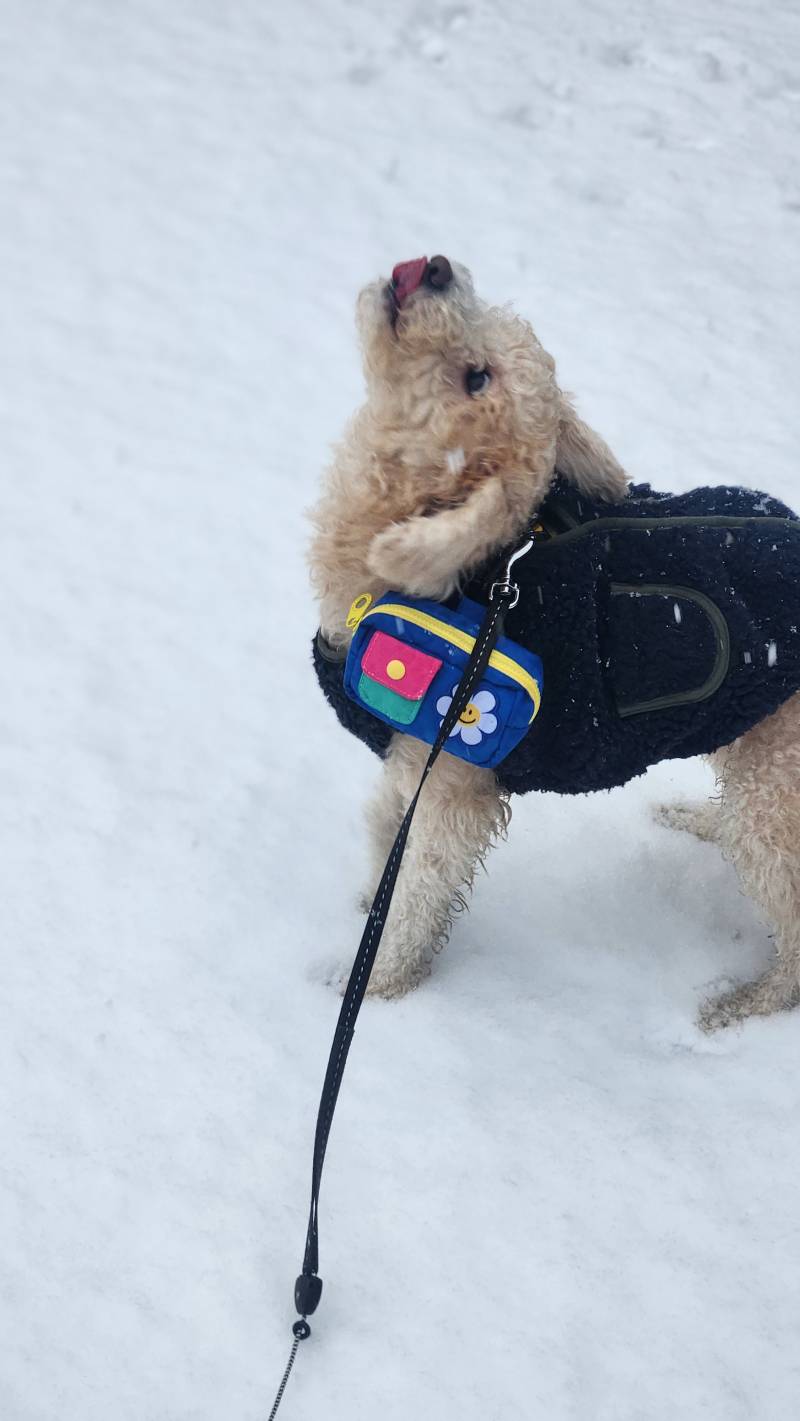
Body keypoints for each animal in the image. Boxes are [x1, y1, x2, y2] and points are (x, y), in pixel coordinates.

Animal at [309, 258, 800, 1034]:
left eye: (476, 377)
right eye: (489, 314)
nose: (436, 267)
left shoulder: (454, 780)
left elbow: (417, 892)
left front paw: (376, 985)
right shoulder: (410, 756)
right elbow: (387, 829)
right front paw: (367, 906)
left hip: (775, 782)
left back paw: (743, 1005)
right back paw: (696, 820)